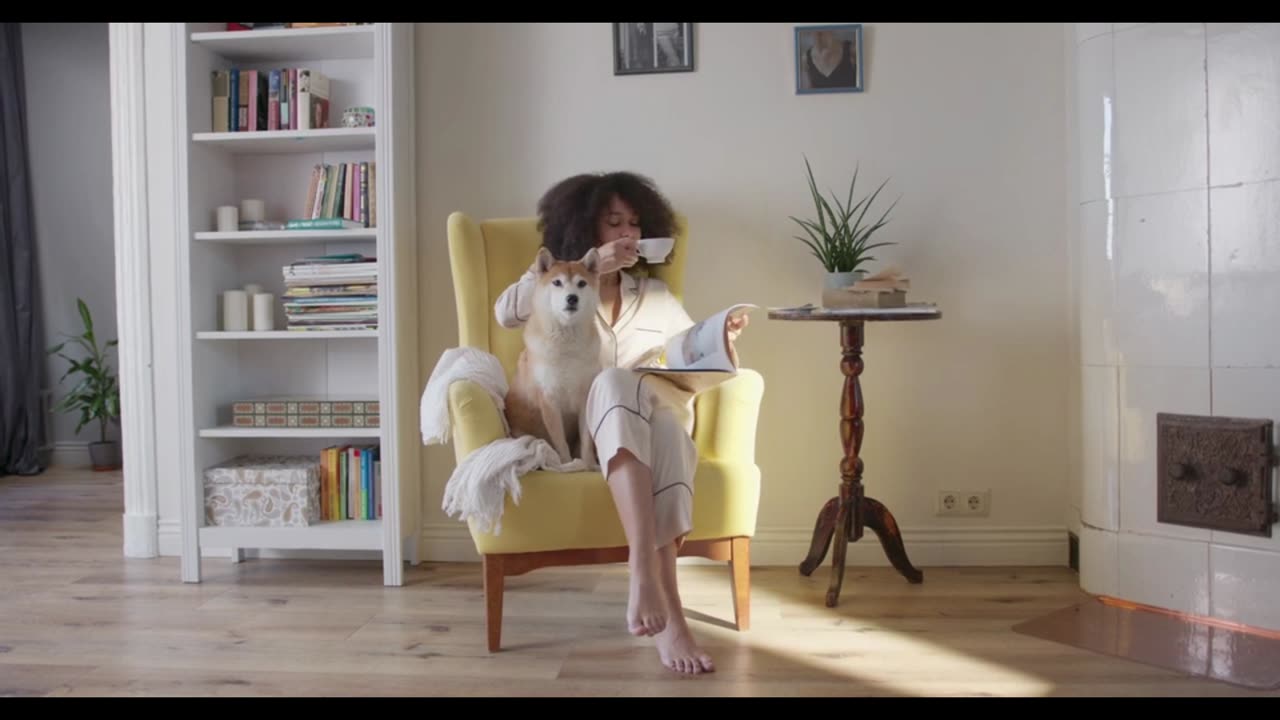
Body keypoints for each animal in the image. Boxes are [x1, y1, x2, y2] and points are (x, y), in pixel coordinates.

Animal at [501, 244, 601, 466]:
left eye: (581, 284)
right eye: (557, 282)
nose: (572, 298)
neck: (567, 345)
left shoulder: (585, 396)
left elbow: (586, 441)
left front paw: (589, 465)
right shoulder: (549, 399)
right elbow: (560, 441)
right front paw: (566, 464)